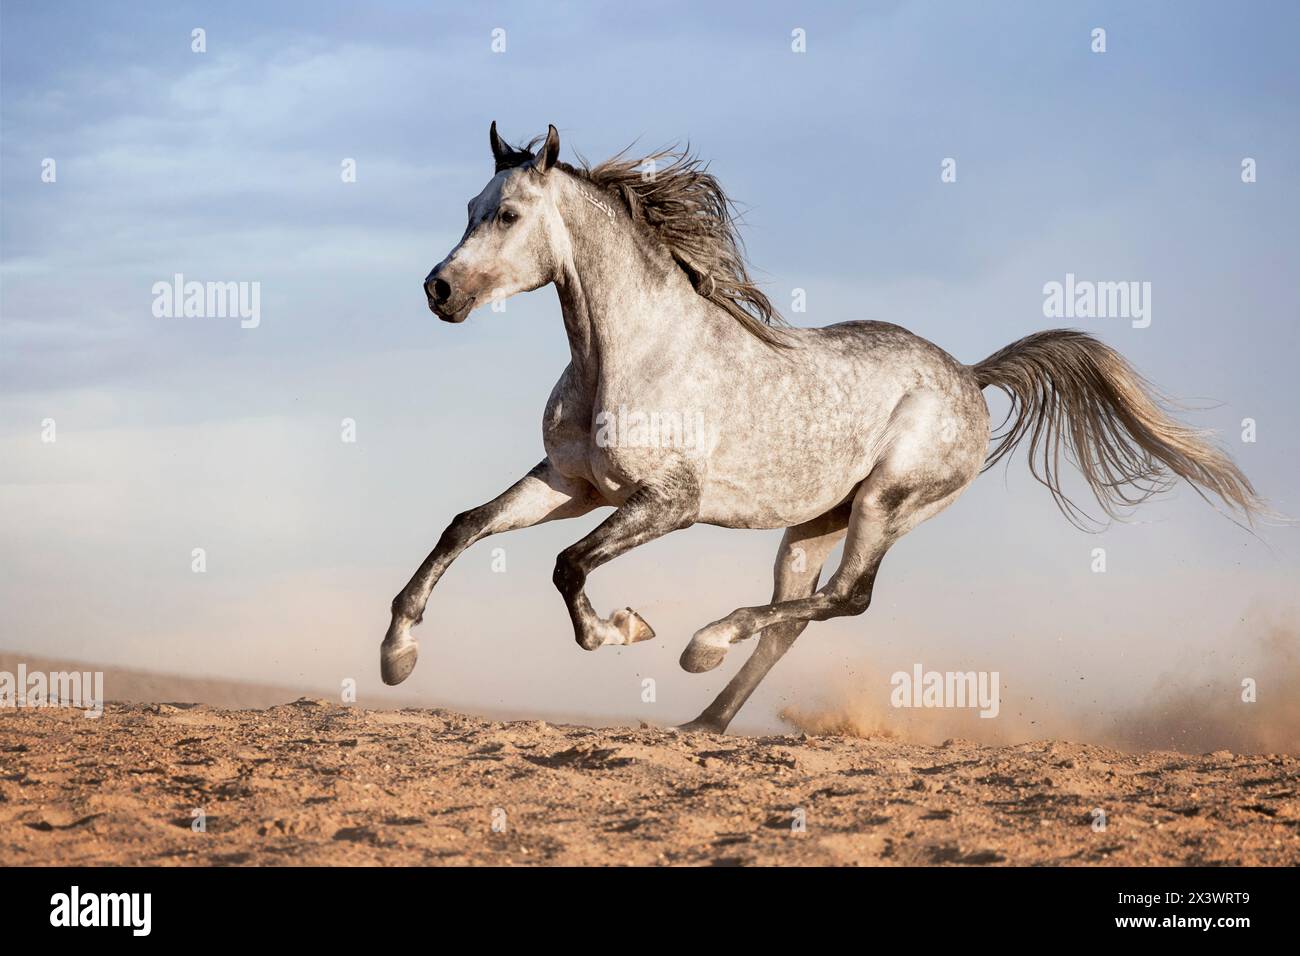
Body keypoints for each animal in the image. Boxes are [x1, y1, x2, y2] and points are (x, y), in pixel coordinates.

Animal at [381, 122, 1265, 733]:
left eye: (508, 214)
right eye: (470, 208)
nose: (439, 290)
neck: (632, 352)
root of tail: (969, 376)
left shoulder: (668, 503)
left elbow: (567, 566)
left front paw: (623, 630)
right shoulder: (571, 483)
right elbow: (465, 526)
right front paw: (398, 655)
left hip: (886, 504)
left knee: (848, 598)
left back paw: (704, 643)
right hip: (813, 522)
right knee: (795, 619)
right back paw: (705, 717)